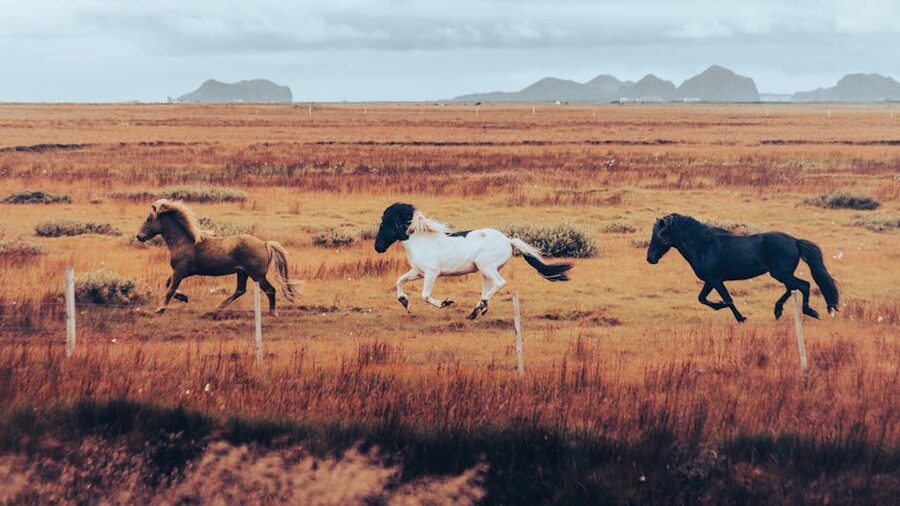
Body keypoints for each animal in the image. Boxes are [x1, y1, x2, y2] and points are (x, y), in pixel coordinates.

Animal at [136, 199, 298, 315]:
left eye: (149, 219)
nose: (139, 236)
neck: (184, 242)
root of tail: (265, 243)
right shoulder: (182, 272)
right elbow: (168, 283)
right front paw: (184, 298)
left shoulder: (180, 271)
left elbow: (170, 288)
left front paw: (160, 309)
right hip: (242, 273)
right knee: (240, 290)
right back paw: (216, 308)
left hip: (257, 275)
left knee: (270, 290)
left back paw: (272, 313)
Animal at [373, 203, 573, 320]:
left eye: (384, 223)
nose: (378, 247)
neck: (421, 240)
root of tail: (508, 240)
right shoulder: (418, 272)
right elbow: (399, 281)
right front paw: (405, 303)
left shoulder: (431, 273)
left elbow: (425, 295)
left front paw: (446, 302)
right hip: (485, 271)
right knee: (489, 288)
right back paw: (476, 311)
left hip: (487, 267)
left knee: (500, 283)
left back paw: (481, 306)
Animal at [646, 213, 839, 322]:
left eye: (660, 235)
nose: (650, 258)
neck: (703, 245)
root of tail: (795, 241)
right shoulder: (710, 281)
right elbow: (702, 299)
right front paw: (724, 308)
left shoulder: (715, 280)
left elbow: (726, 299)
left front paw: (740, 317)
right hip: (781, 274)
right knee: (793, 288)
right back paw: (778, 311)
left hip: (781, 273)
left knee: (804, 285)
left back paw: (810, 312)